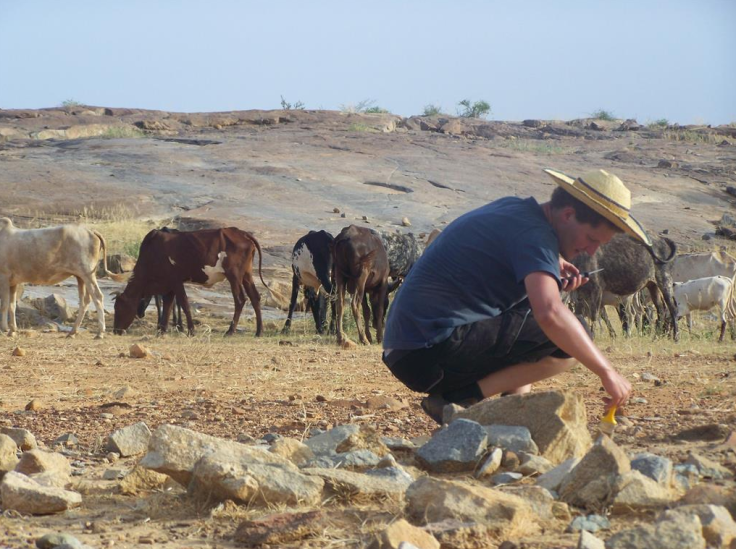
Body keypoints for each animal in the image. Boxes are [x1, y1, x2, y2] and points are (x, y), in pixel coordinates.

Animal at [113, 226, 266, 334]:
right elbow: (168, 306)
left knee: (240, 300)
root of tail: (241, 233)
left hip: (234, 276)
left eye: (119, 307)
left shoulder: (176, 281)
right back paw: (259, 331)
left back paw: (230, 331)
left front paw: (190, 330)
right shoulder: (169, 285)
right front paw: (162, 330)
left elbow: (184, 304)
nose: (116, 331)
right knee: (255, 297)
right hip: (246, 275)